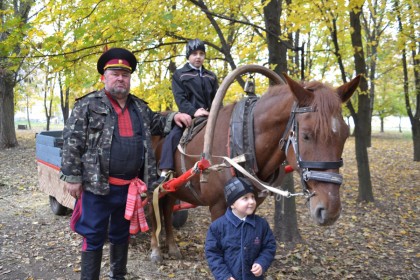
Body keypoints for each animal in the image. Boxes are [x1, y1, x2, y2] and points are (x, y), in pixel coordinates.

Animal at [149, 68, 360, 262]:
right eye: (306, 135)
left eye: (344, 135)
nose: (331, 210)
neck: (241, 143)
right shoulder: (217, 207)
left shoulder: (253, 202)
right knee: (153, 207)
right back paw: (156, 249)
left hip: (173, 190)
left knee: (166, 209)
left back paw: (172, 246)